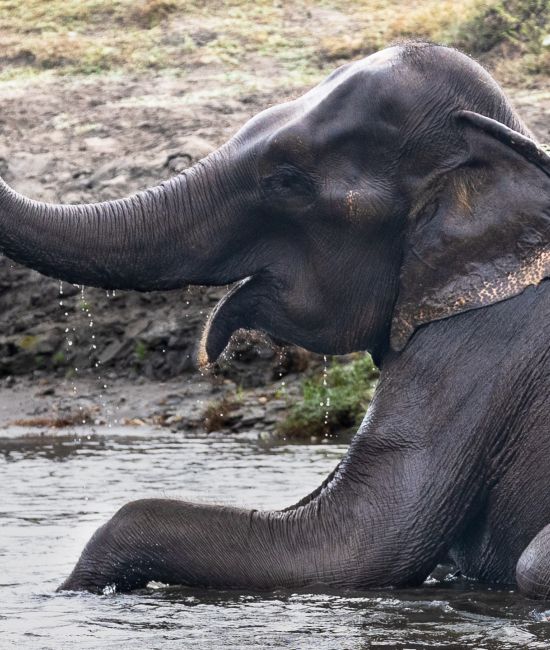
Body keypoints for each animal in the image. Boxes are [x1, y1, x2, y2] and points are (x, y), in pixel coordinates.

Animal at [0, 41, 549, 598]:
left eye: (287, 182)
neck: (512, 144)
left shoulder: (477, 349)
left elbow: (362, 543)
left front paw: (72, 592)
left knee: (531, 563)